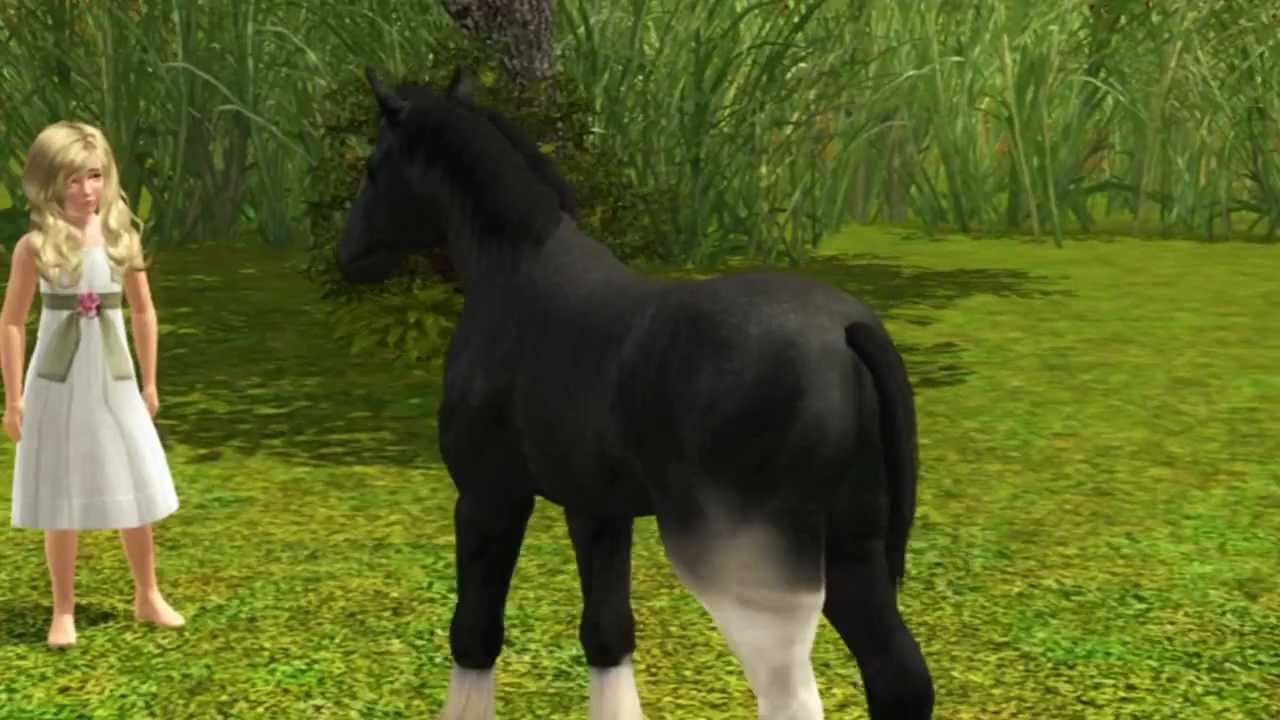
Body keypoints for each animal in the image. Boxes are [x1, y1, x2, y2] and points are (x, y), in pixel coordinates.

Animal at [335, 64, 935, 720]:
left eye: (374, 167)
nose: (347, 255)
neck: (516, 278)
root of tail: (846, 330)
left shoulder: (489, 495)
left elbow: (474, 634)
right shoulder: (597, 508)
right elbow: (607, 634)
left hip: (751, 561)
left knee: (790, 691)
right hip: (853, 547)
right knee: (898, 676)